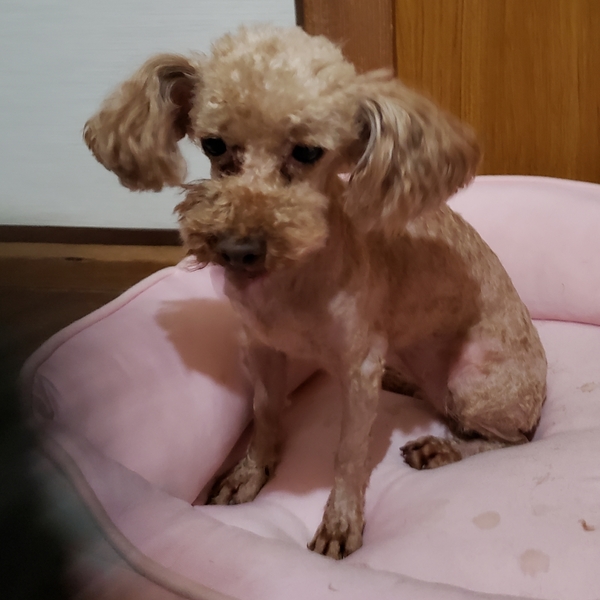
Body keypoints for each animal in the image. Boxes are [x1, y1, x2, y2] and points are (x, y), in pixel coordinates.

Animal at [83, 24, 547, 559]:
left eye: (307, 152)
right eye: (215, 145)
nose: (237, 250)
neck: (294, 280)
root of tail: (541, 401)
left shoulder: (359, 369)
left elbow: (348, 453)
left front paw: (340, 522)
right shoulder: (262, 348)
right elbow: (264, 414)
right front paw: (250, 473)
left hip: (472, 384)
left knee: (509, 440)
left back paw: (443, 447)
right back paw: (404, 383)